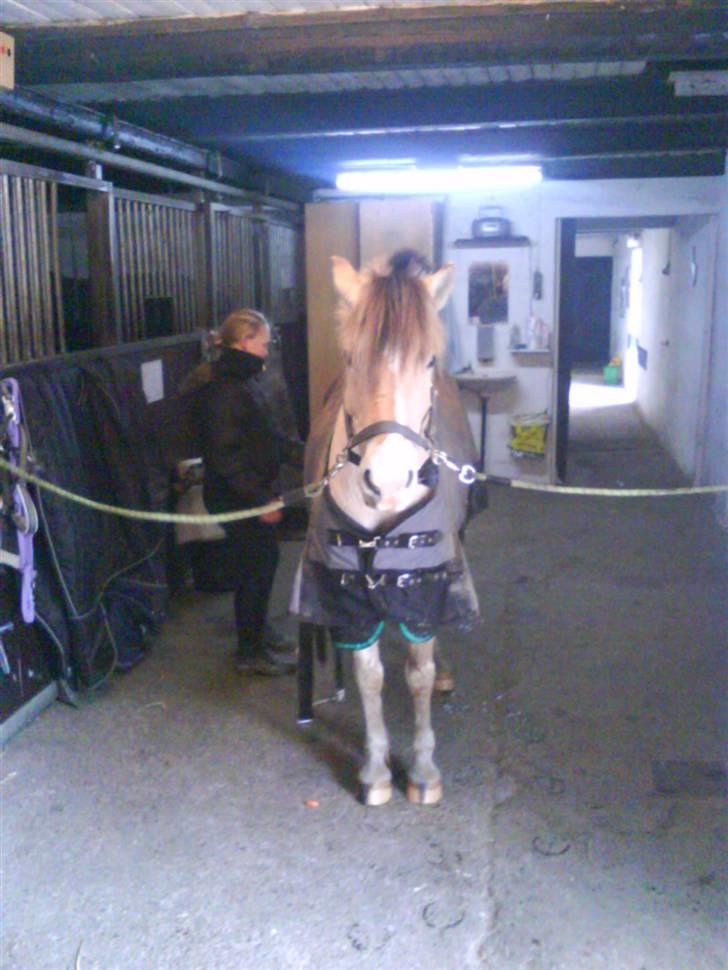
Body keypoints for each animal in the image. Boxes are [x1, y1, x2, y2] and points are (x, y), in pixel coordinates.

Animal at [291, 249, 480, 806]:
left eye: (428, 361)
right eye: (351, 357)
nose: (390, 481)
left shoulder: (423, 583)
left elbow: (418, 673)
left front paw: (422, 770)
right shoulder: (351, 586)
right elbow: (370, 676)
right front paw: (376, 769)